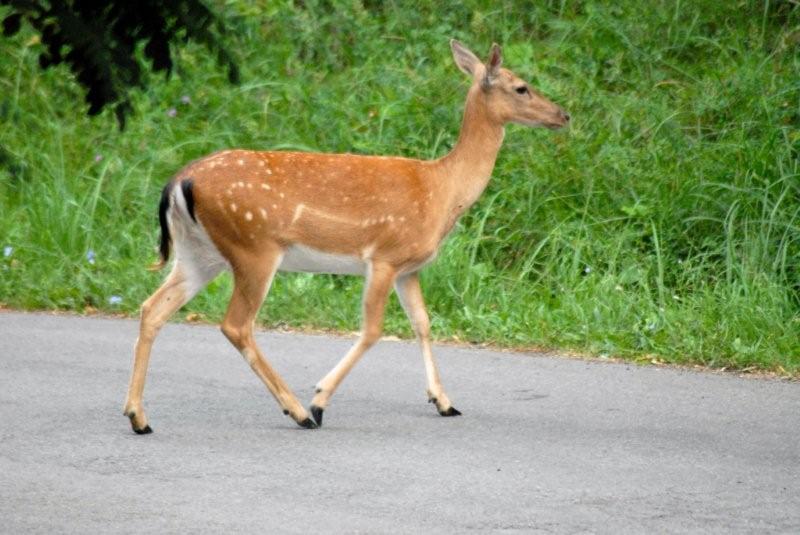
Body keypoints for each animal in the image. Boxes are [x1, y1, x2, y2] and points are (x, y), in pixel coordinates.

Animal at [123, 39, 568, 434]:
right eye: (521, 86)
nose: (563, 114)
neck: (443, 189)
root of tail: (179, 181)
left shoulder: (410, 267)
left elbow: (423, 323)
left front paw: (443, 401)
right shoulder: (384, 256)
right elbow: (373, 330)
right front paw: (320, 400)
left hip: (199, 253)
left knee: (152, 309)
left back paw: (138, 417)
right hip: (253, 247)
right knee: (235, 325)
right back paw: (298, 411)